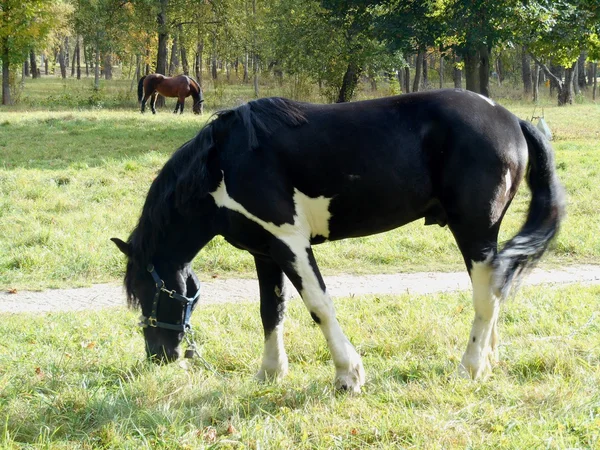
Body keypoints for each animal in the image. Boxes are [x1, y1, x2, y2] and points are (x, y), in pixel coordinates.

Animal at [111, 89, 564, 392]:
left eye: (148, 291)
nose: (159, 354)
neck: (224, 163)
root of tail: (510, 119)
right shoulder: (266, 251)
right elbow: (270, 310)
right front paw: (270, 373)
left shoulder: (290, 243)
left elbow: (318, 306)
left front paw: (348, 375)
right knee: (498, 287)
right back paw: (488, 360)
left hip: (474, 230)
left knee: (487, 296)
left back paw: (470, 367)